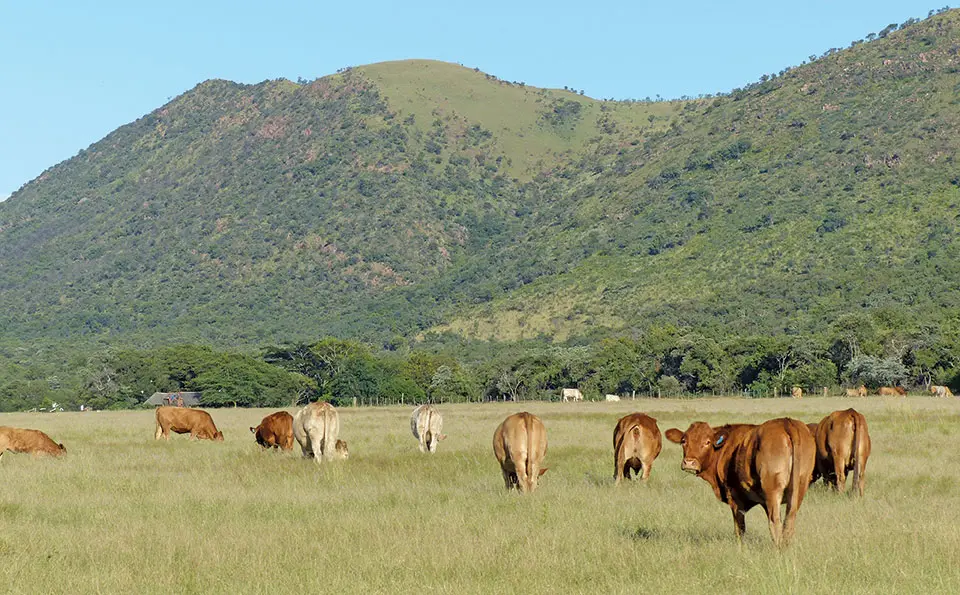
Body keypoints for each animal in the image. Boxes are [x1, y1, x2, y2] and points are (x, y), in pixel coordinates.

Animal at [665, 417, 815, 547]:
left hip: (772, 490)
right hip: (799, 488)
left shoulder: (735, 500)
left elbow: (740, 529)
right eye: (684, 441)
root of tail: (786, 422)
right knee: (789, 521)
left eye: (707, 442)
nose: (689, 462)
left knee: (775, 522)